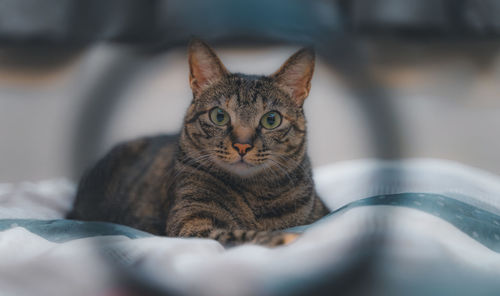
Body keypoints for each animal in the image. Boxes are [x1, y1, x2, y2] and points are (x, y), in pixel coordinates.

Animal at [68, 39, 330, 247]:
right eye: (219, 116)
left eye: (271, 119)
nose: (242, 145)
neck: (255, 197)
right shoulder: (190, 225)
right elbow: (236, 233)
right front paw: (280, 237)